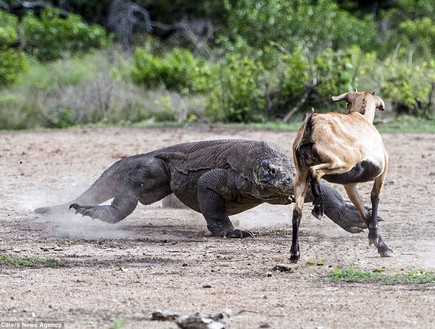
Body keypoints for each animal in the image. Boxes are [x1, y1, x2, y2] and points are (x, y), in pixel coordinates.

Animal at [290, 89, 396, 262]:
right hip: (341, 161)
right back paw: (318, 209)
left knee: (297, 212)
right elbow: (375, 198)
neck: (361, 118)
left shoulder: (349, 184)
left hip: (300, 175)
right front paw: (382, 246)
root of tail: (310, 128)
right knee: (315, 172)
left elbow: (363, 210)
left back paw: (294, 253)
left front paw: (379, 243)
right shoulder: (382, 172)